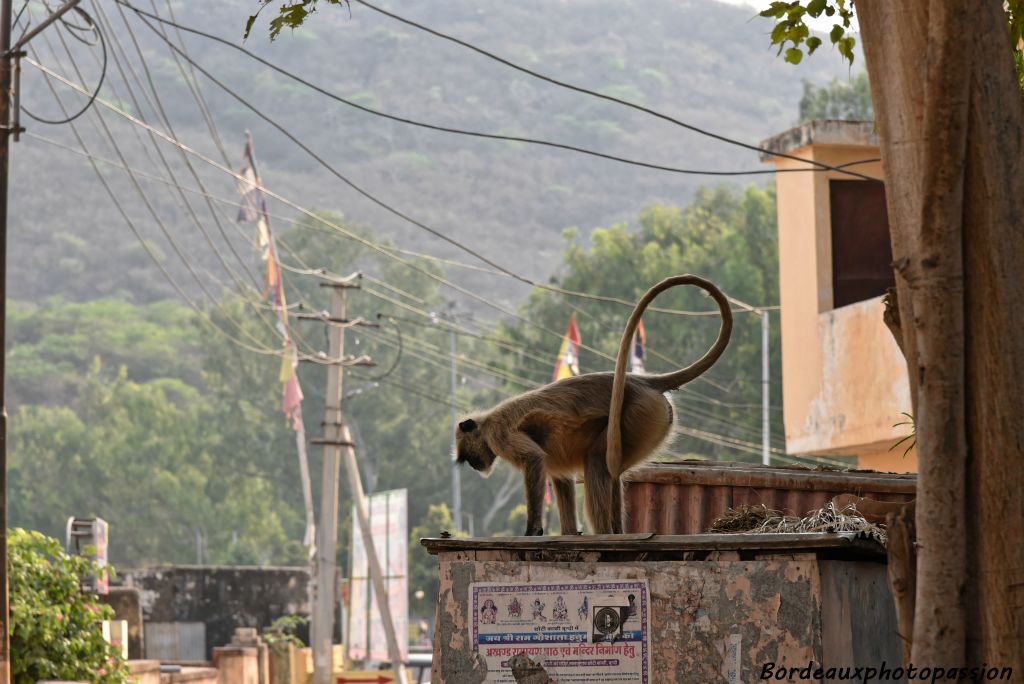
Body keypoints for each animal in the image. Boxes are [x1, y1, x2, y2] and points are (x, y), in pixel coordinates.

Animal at [454, 274, 729, 536]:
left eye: (467, 456)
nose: (475, 466)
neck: (486, 421)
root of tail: (642, 382)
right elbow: (561, 477)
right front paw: (568, 533)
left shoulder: (498, 434)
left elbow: (534, 459)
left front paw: (533, 529)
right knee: (610, 470)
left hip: (640, 415)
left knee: (597, 460)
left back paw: (605, 532)